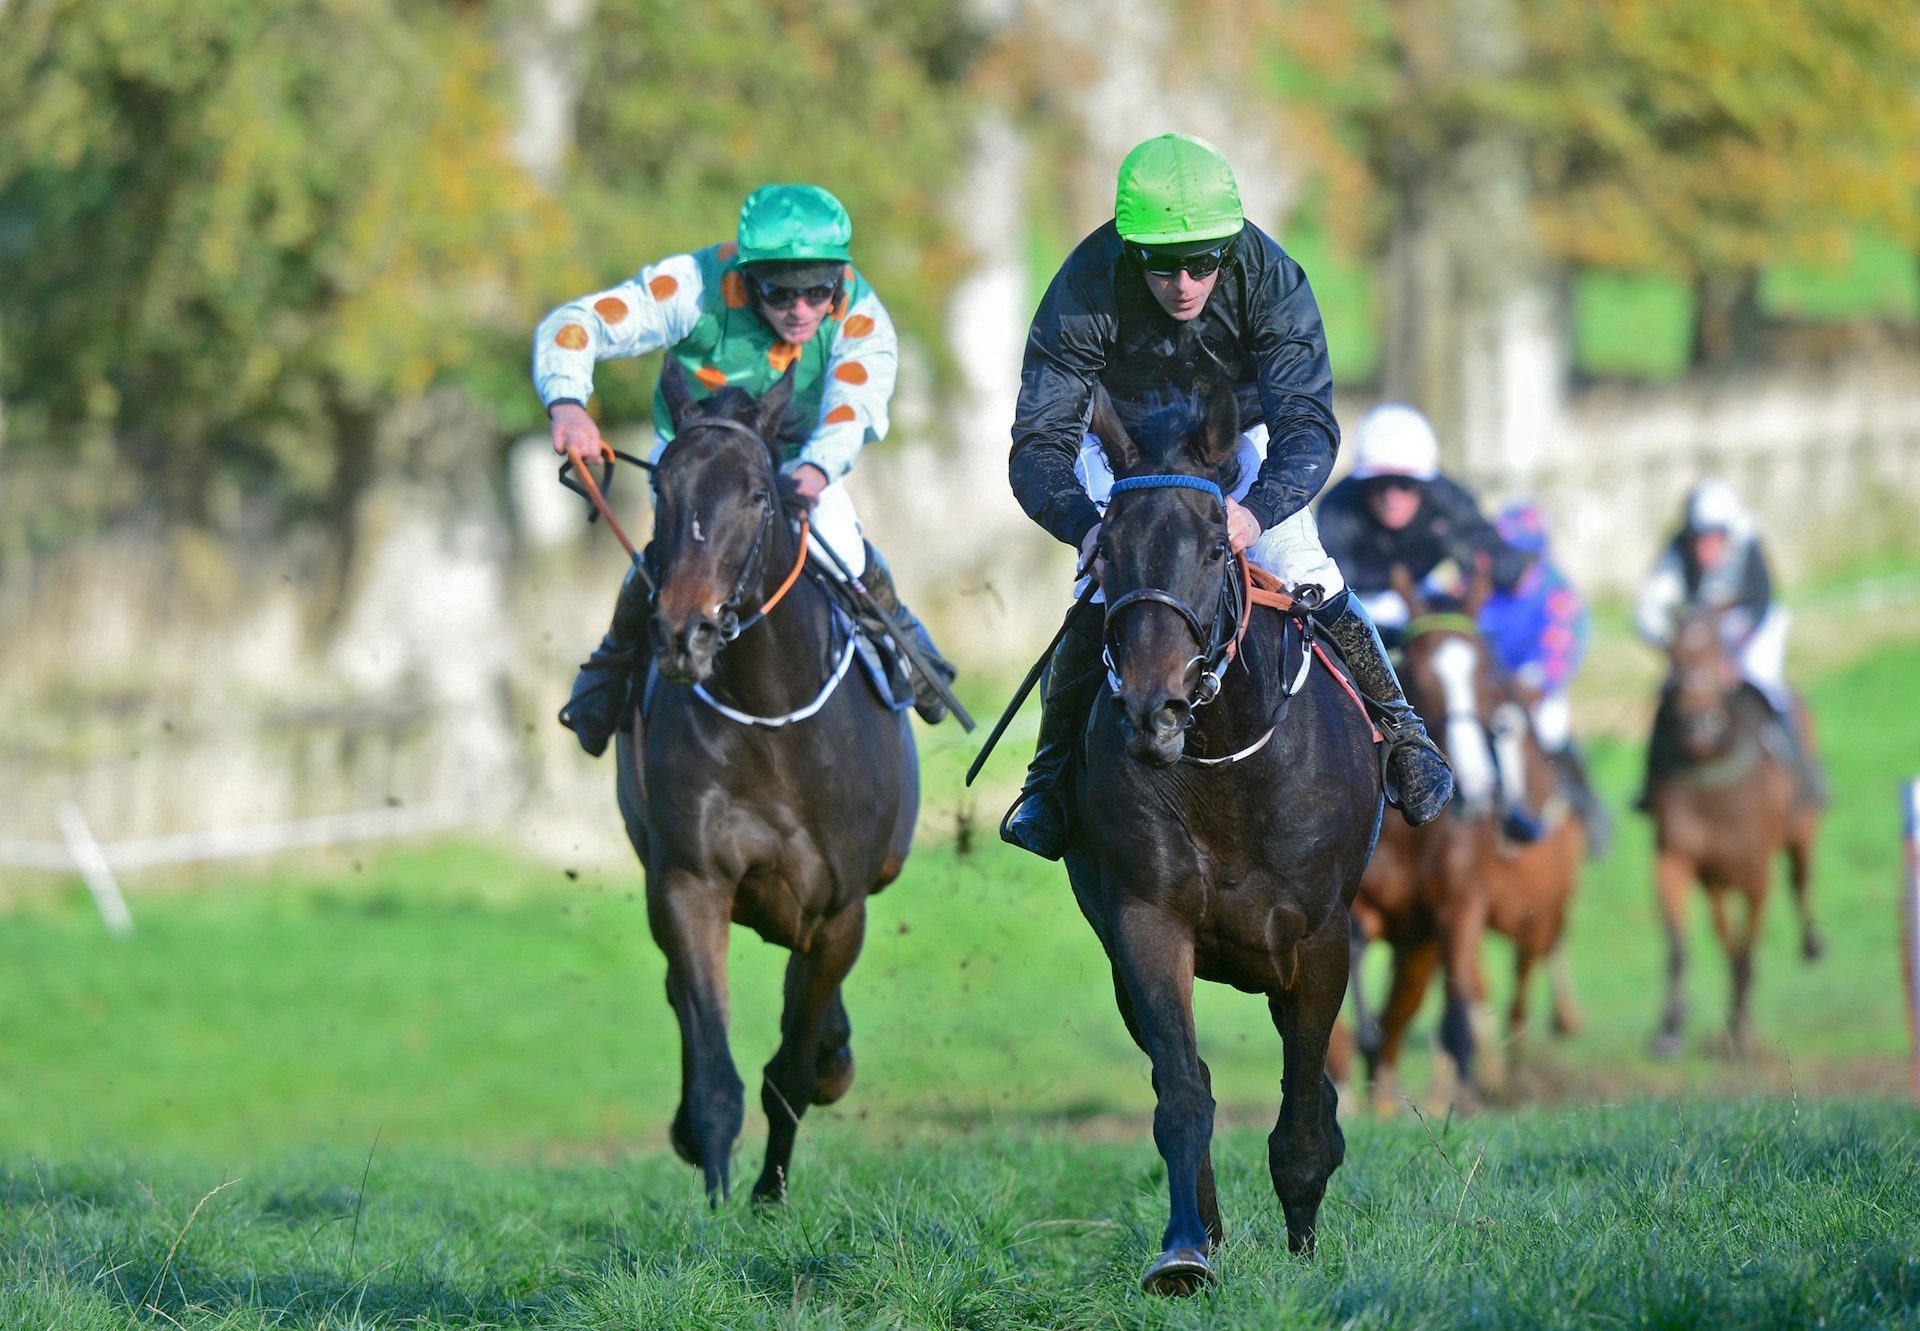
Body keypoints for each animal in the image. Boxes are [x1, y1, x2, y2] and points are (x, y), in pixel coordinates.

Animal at [610, 363, 917, 1206]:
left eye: (755, 492)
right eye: (662, 488)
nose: (682, 632)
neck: (772, 714)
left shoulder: (839, 908)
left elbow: (792, 1070)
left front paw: (771, 1194)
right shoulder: (689, 882)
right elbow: (717, 1069)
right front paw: (717, 1199)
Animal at [1067, 378, 1382, 1290]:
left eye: (1215, 547)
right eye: (1105, 554)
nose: (1154, 705)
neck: (1223, 764)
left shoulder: (1319, 937)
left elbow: (1303, 1111)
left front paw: (1305, 1243)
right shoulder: (1143, 923)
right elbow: (1181, 1092)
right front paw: (1183, 1250)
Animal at [1344, 564, 1582, 1106]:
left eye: (1487, 676)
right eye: (1418, 671)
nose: (1473, 785)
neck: (1411, 837)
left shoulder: (1460, 906)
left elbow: (1455, 1018)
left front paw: (1464, 1097)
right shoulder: (1364, 906)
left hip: (1534, 918)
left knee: (1516, 988)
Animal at [1643, 606, 1820, 1052]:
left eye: (1717, 651)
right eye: (1674, 656)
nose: (1698, 723)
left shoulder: (1757, 872)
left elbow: (1747, 948)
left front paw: (1739, 1027)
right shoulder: (1677, 859)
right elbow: (1682, 945)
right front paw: (1670, 1027)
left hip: (1801, 832)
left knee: (1800, 881)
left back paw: (1811, 944)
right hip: (1716, 879)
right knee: (1724, 929)